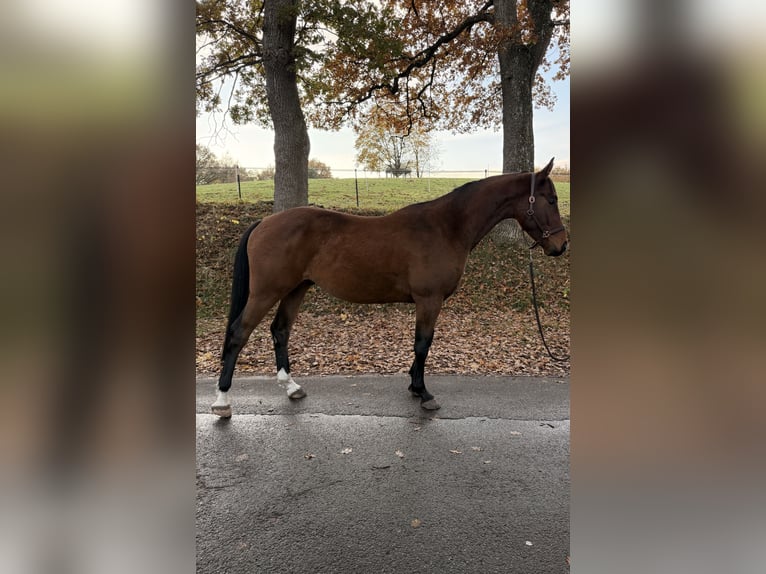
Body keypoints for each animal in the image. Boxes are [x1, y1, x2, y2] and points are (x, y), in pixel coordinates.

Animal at [211, 158, 568, 417]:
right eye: (551, 199)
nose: (561, 246)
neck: (446, 227)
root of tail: (264, 223)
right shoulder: (429, 300)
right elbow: (423, 343)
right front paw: (423, 393)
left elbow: (420, 345)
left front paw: (413, 386)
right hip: (266, 292)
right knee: (239, 334)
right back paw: (222, 401)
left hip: (296, 289)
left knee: (280, 330)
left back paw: (291, 387)